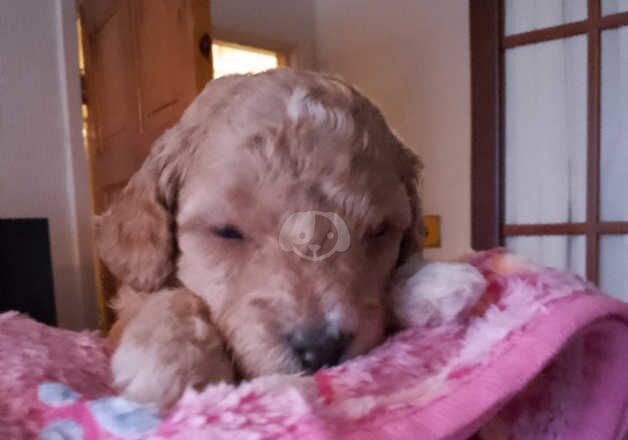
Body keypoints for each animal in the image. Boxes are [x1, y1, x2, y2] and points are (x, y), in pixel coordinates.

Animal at [95, 68, 472, 410]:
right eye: (226, 232)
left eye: (379, 230)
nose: (320, 349)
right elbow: (161, 297)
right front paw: (169, 359)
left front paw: (436, 280)